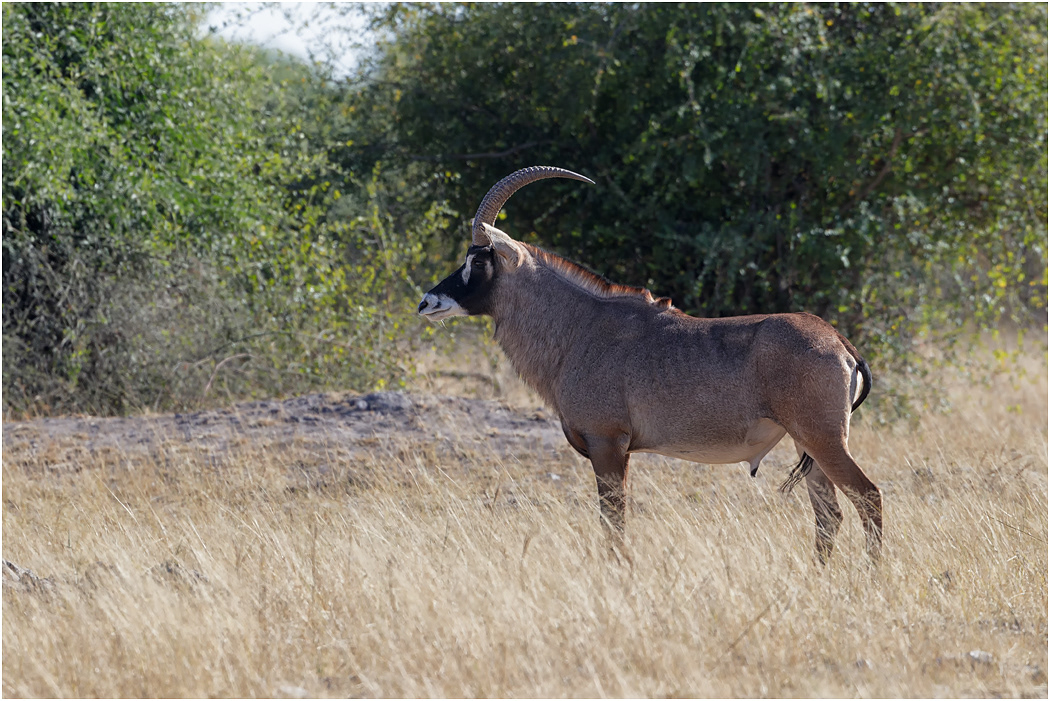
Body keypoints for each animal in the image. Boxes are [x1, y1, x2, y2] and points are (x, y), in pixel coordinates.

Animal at [417, 166, 881, 563]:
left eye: (479, 260)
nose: (426, 302)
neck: (578, 326)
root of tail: (839, 341)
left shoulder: (608, 444)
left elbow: (614, 521)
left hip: (824, 440)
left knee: (869, 497)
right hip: (808, 447)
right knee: (830, 514)